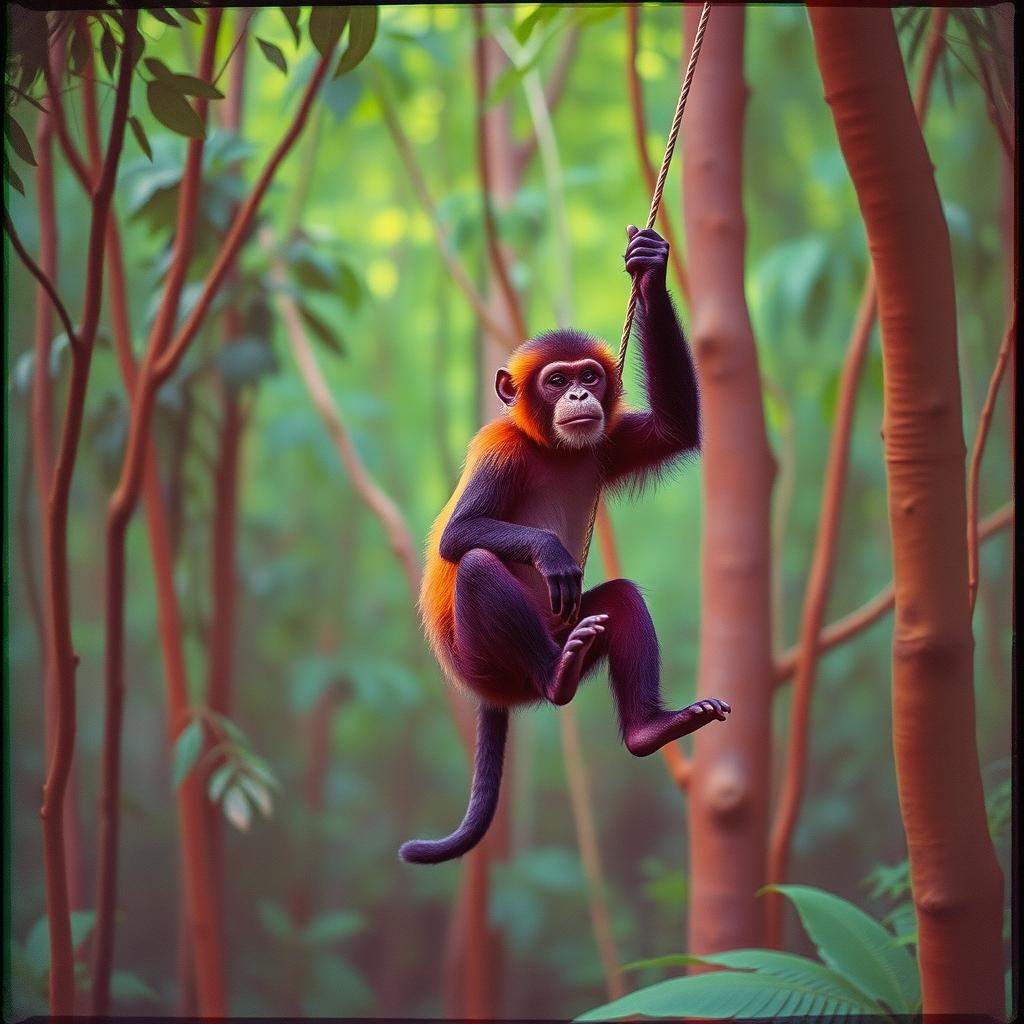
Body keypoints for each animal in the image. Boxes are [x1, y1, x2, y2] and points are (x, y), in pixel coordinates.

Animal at [401, 226, 730, 865]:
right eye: (556, 380)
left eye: (589, 376)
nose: (579, 395)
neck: (550, 447)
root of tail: (496, 695)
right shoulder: (500, 449)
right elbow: (460, 535)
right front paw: (551, 552)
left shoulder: (610, 439)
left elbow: (675, 428)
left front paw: (651, 268)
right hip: (491, 664)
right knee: (478, 565)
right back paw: (558, 678)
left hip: (567, 626)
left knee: (620, 600)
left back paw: (650, 728)